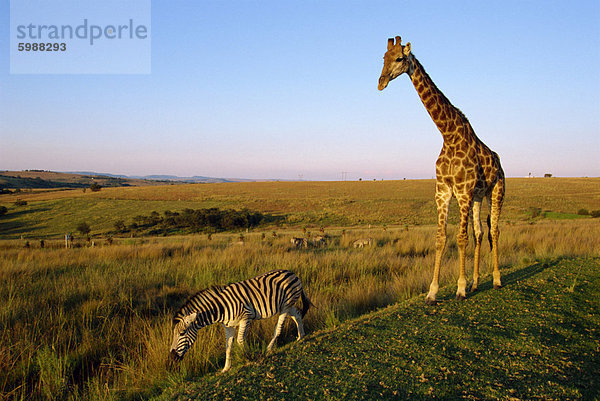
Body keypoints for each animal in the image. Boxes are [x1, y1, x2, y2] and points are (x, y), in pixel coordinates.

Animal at [169, 268, 310, 372]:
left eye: (182, 333)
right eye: (174, 334)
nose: (172, 357)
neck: (221, 308)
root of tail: (292, 273)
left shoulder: (245, 318)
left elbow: (240, 341)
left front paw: (250, 357)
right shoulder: (228, 326)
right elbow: (228, 346)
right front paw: (226, 368)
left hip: (286, 305)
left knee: (279, 327)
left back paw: (269, 348)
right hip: (286, 305)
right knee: (297, 315)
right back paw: (301, 336)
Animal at [380, 36, 506, 304]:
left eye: (399, 58)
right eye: (383, 58)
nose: (381, 82)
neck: (449, 135)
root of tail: (499, 162)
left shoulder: (463, 191)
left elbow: (460, 238)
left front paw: (459, 288)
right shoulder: (443, 192)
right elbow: (441, 239)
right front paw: (432, 291)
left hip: (496, 192)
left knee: (494, 230)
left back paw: (496, 279)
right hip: (479, 196)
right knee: (480, 232)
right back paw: (476, 283)